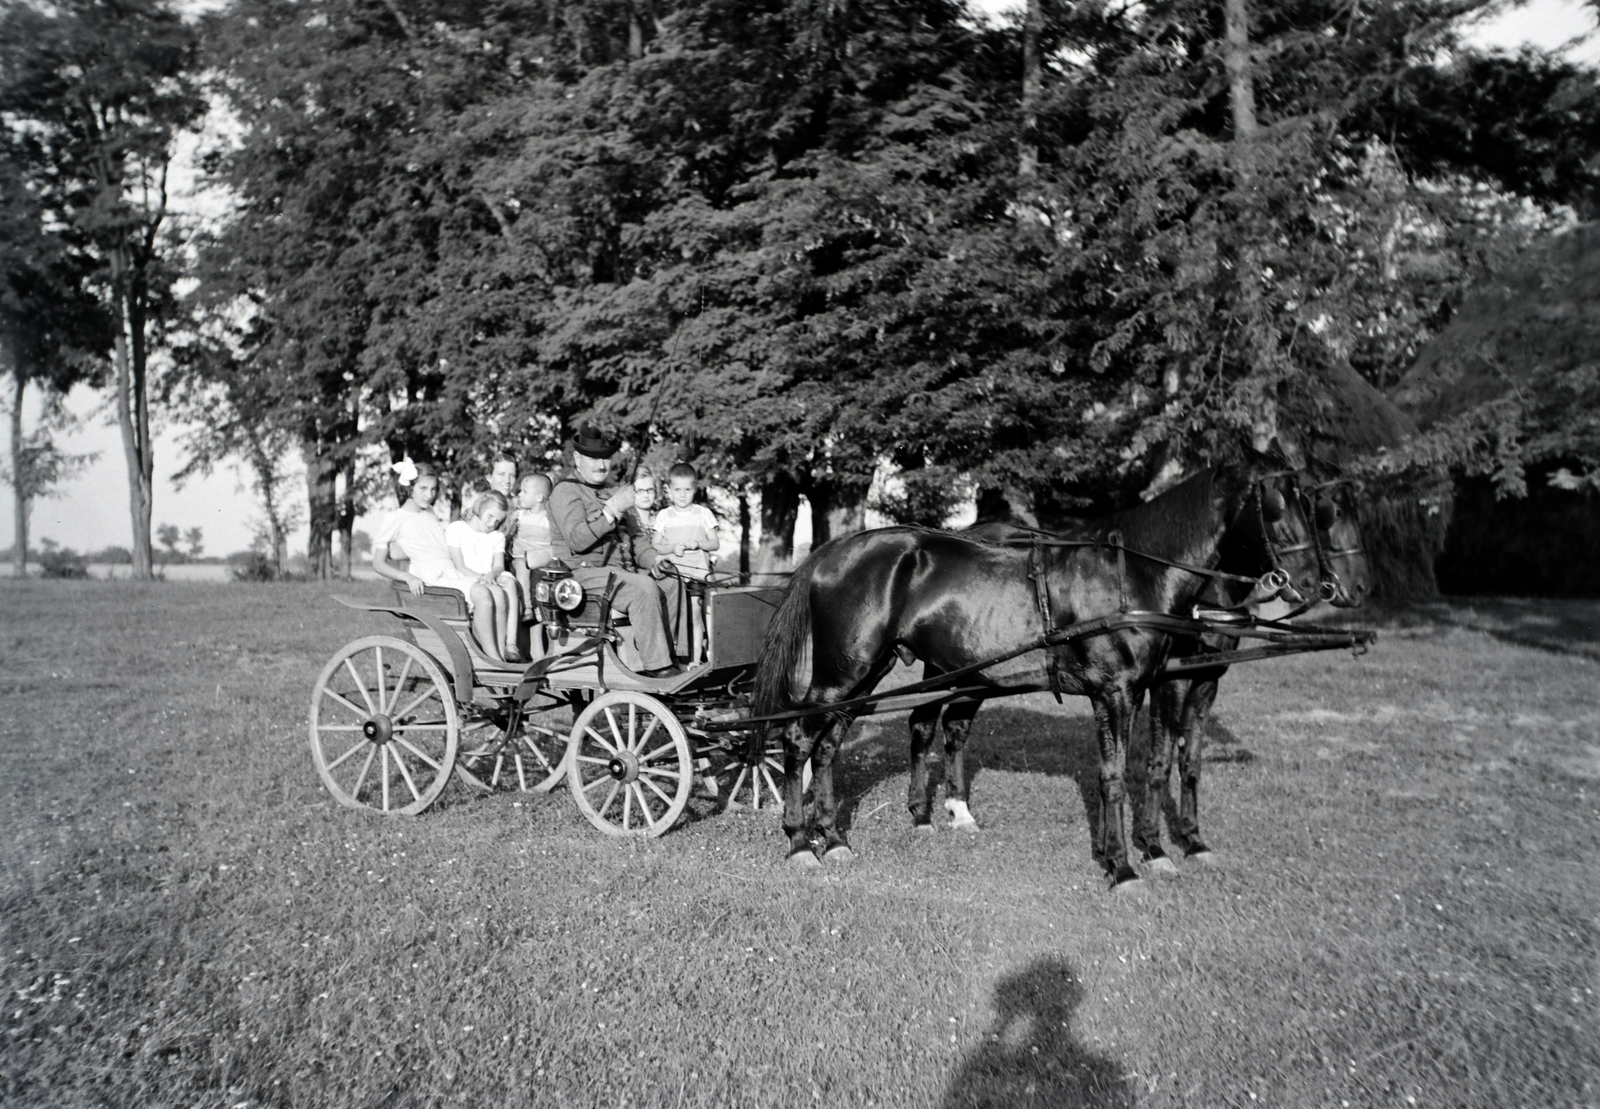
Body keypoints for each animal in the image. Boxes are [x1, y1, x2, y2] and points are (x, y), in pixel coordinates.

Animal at [752, 457, 1350, 883]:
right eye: (1274, 504)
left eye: (1311, 505)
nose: (1314, 583)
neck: (1133, 575)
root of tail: (831, 552)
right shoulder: (1119, 692)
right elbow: (1116, 776)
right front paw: (1124, 866)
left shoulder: (1159, 686)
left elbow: (1165, 764)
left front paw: (1153, 849)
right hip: (845, 670)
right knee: (800, 738)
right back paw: (799, 841)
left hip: (871, 672)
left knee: (836, 742)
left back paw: (835, 839)